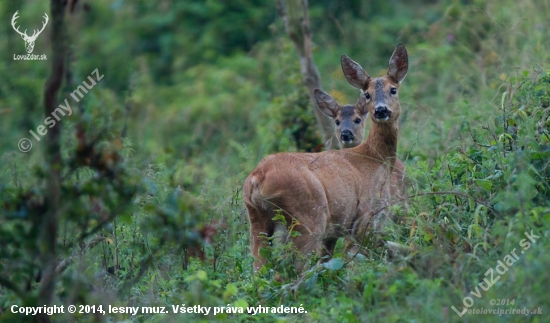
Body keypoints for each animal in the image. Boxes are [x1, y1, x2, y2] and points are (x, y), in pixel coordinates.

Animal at [245, 43, 410, 270]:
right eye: (367, 94)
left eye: (393, 89)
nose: (381, 110)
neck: (377, 158)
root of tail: (257, 178)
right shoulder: (366, 215)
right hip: (309, 217)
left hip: (257, 220)